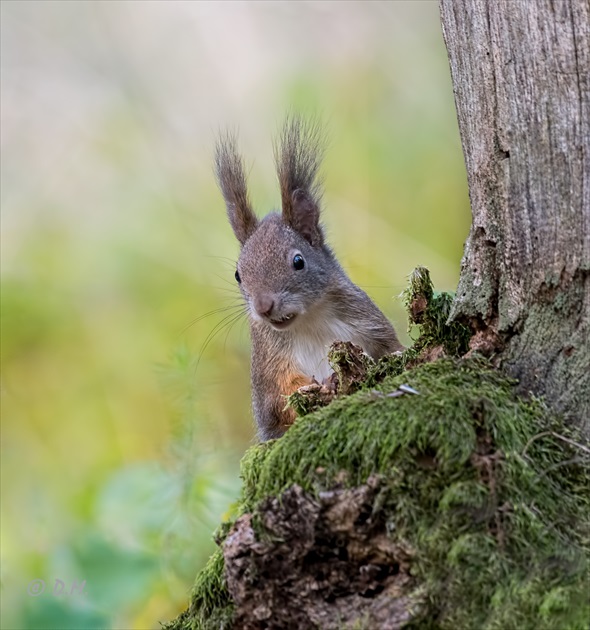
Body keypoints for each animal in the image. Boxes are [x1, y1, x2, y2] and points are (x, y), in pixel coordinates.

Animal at [215, 119, 404, 444]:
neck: (308, 322)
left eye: (298, 262)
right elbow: (280, 404)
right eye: (238, 274)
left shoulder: (369, 325)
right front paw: (316, 386)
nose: (264, 306)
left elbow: (391, 354)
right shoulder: (269, 366)